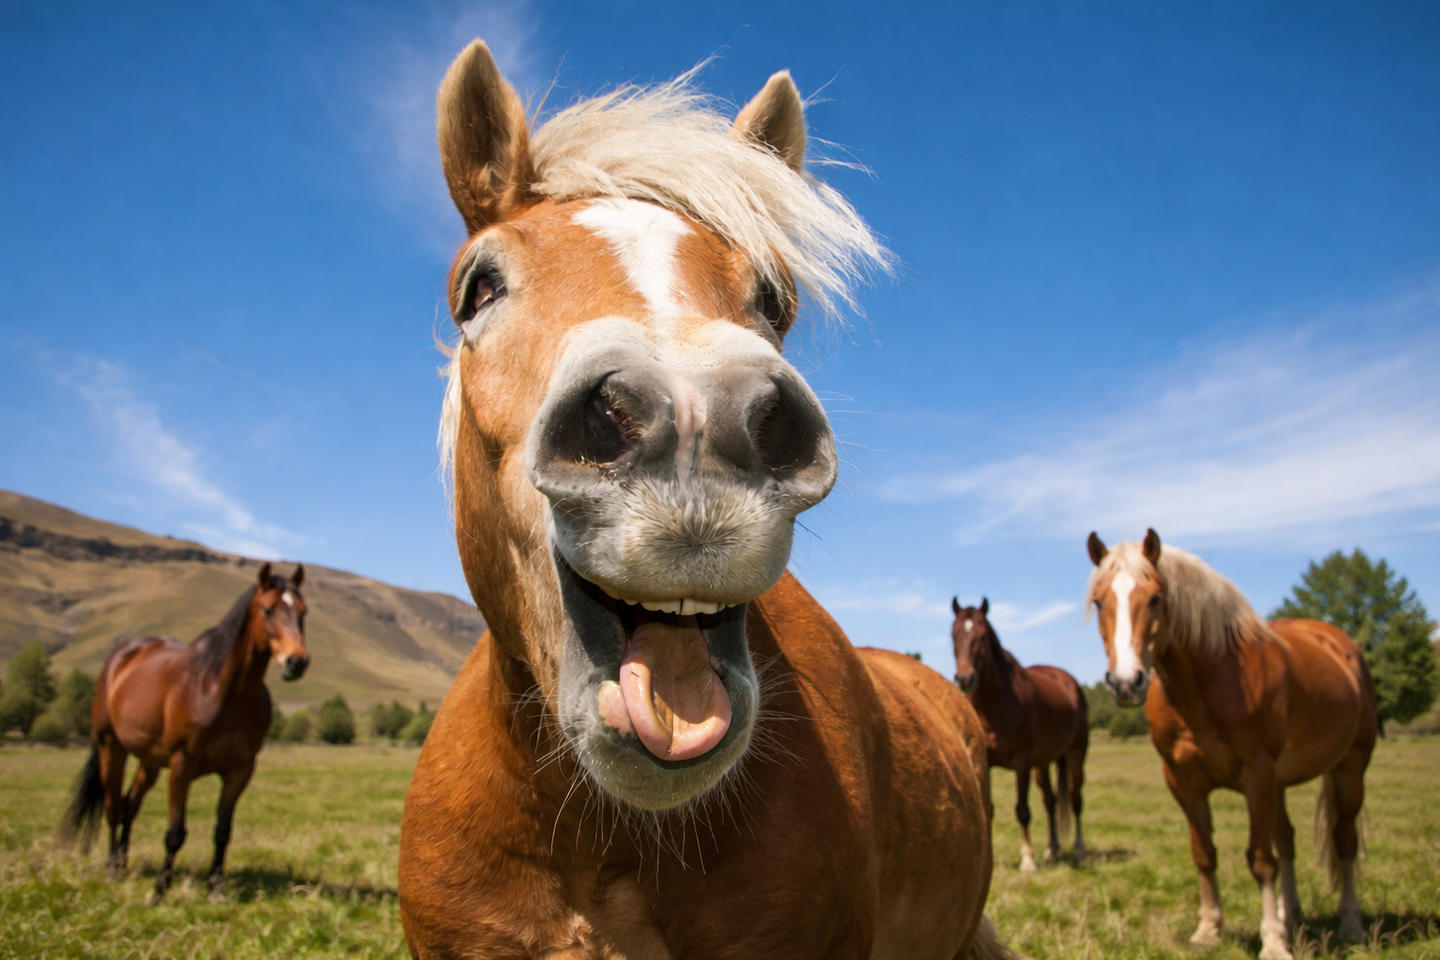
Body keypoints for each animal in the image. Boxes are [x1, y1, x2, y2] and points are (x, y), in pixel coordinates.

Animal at [59, 562, 309, 903]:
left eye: (303, 611)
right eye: (267, 610)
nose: (297, 662)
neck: (223, 692)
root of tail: (122, 657)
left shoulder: (240, 770)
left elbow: (223, 831)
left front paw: (216, 888)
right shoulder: (181, 766)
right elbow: (175, 833)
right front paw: (160, 890)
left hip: (150, 761)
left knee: (130, 805)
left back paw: (124, 864)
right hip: (112, 748)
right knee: (113, 806)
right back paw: (112, 869)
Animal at [951, 597, 1089, 873]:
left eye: (983, 635)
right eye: (953, 634)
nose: (965, 678)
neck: (995, 702)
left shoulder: (1022, 762)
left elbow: (1022, 810)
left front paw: (1027, 859)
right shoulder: (986, 761)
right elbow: (989, 809)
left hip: (1076, 753)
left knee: (1076, 798)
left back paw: (1079, 849)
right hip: (1043, 764)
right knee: (1051, 801)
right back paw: (1052, 849)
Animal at [1086, 530, 1376, 960]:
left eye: (1155, 598)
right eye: (1099, 601)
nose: (1125, 682)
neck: (1208, 684)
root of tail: (1341, 645)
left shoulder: (1257, 775)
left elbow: (1260, 860)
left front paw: (1272, 942)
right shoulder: (1183, 781)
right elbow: (1205, 854)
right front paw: (1209, 929)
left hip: (1349, 769)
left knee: (1344, 841)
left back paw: (1350, 923)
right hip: (1281, 784)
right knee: (1287, 840)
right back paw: (1290, 914)